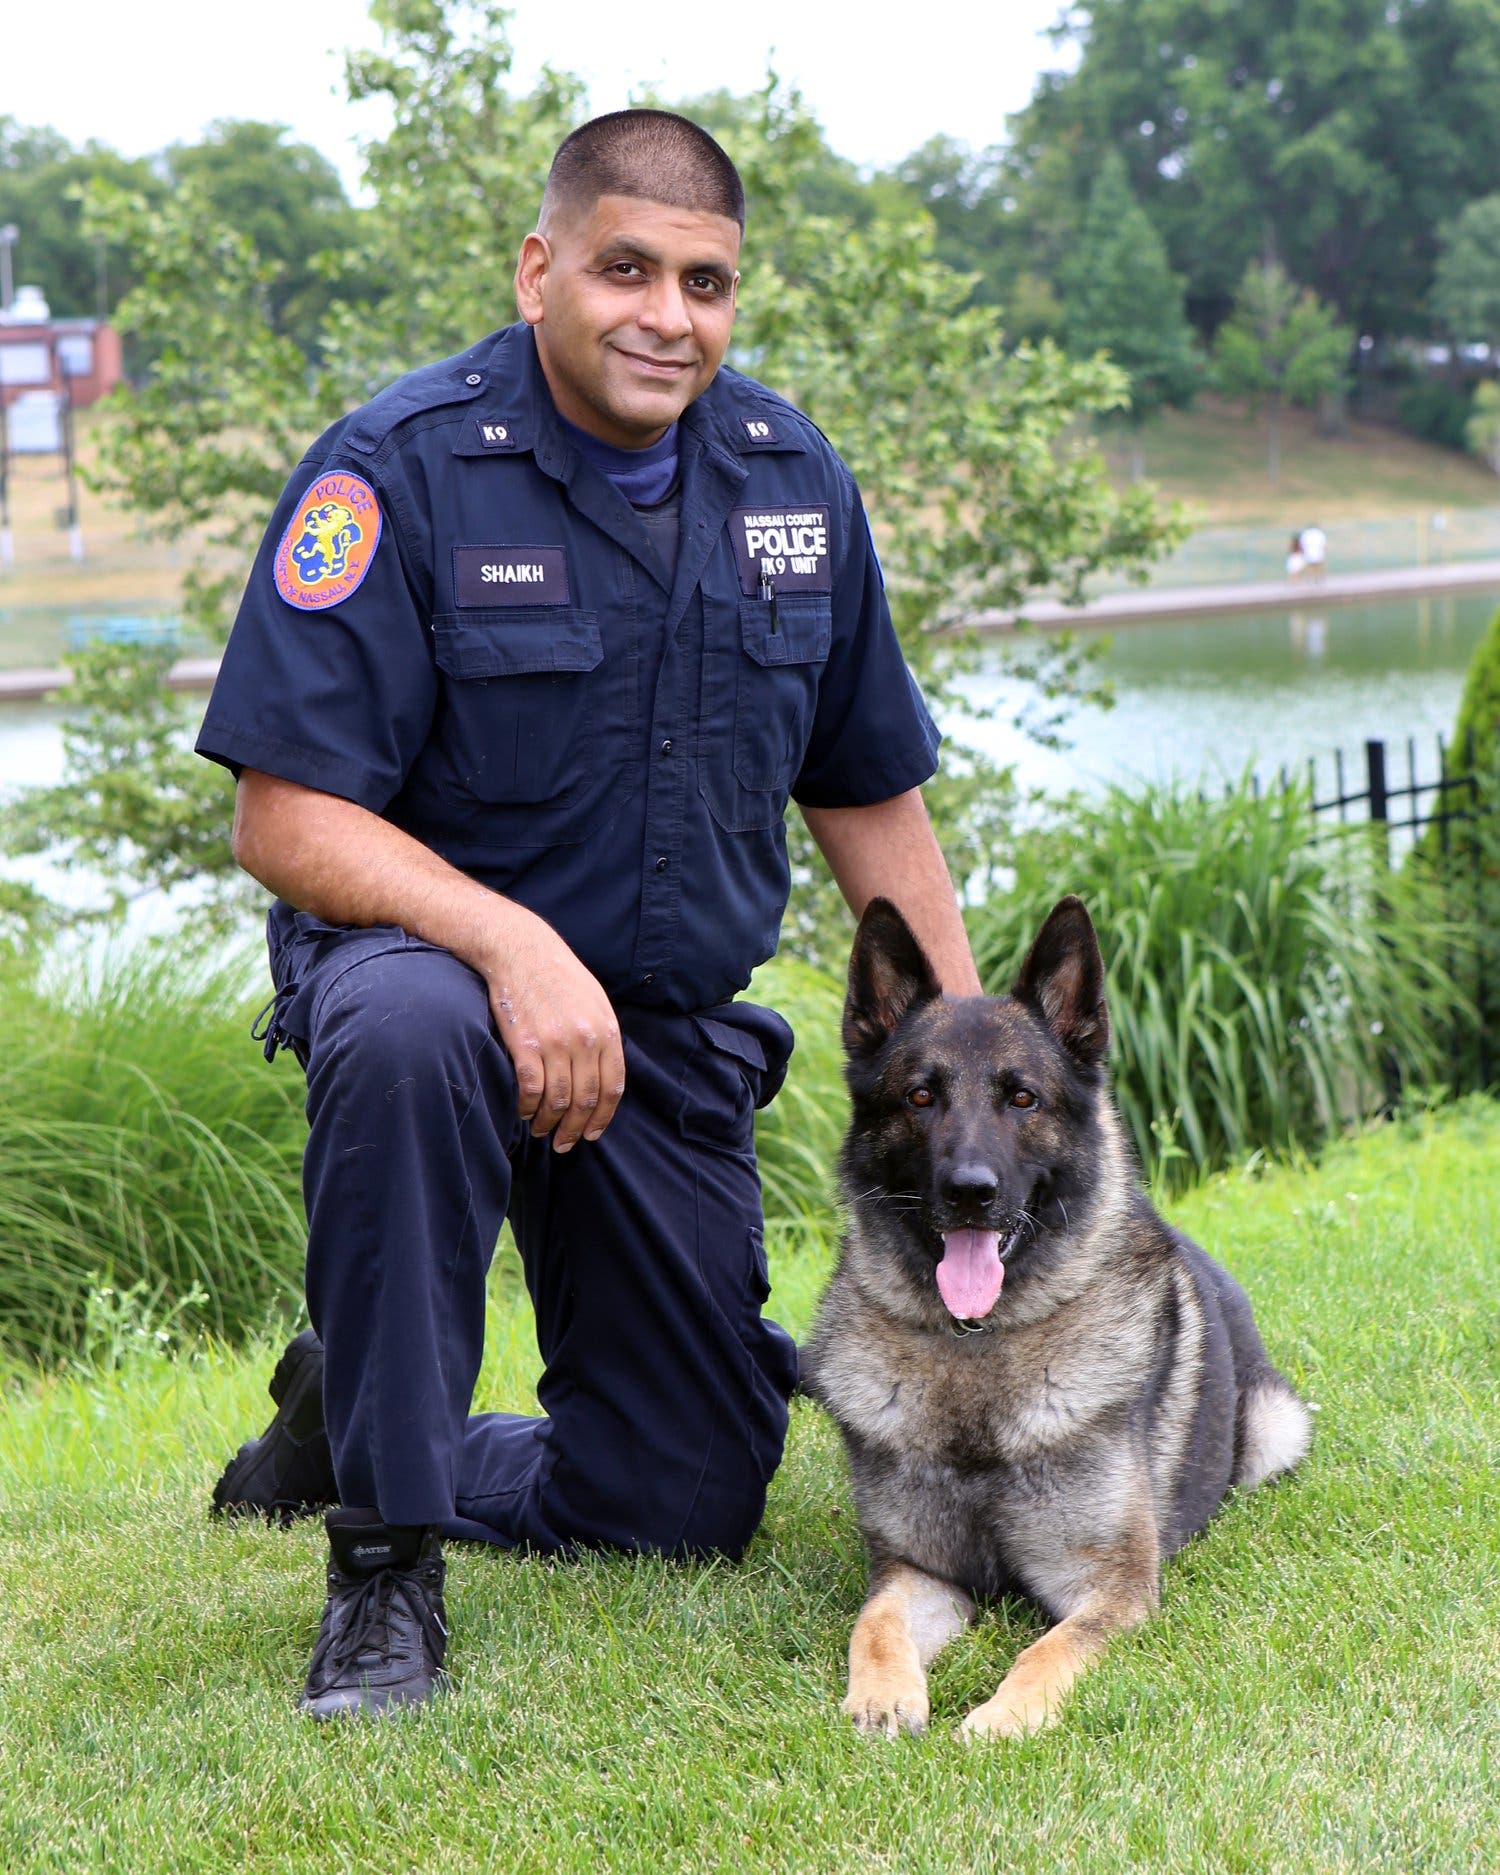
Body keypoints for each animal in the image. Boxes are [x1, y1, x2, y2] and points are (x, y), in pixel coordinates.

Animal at [801, 894, 1311, 1740]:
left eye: (1022, 1097)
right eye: (919, 1096)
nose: (969, 1191)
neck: (980, 1348)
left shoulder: (1112, 1587)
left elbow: (1049, 1648)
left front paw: (1004, 1714)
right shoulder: (918, 1570)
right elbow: (873, 1622)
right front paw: (882, 1695)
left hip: (1278, 1428)